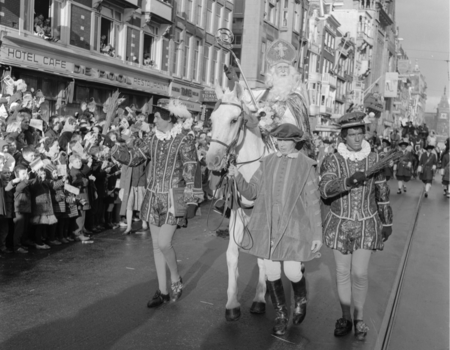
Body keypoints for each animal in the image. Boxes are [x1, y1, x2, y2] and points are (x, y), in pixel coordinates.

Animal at [205, 83, 272, 322]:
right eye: (211, 119)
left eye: (234, 120)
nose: (211, 160)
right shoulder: (237, 214)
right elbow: (232, 255)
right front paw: (232, 303)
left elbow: (263, 256)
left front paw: (259, 299)